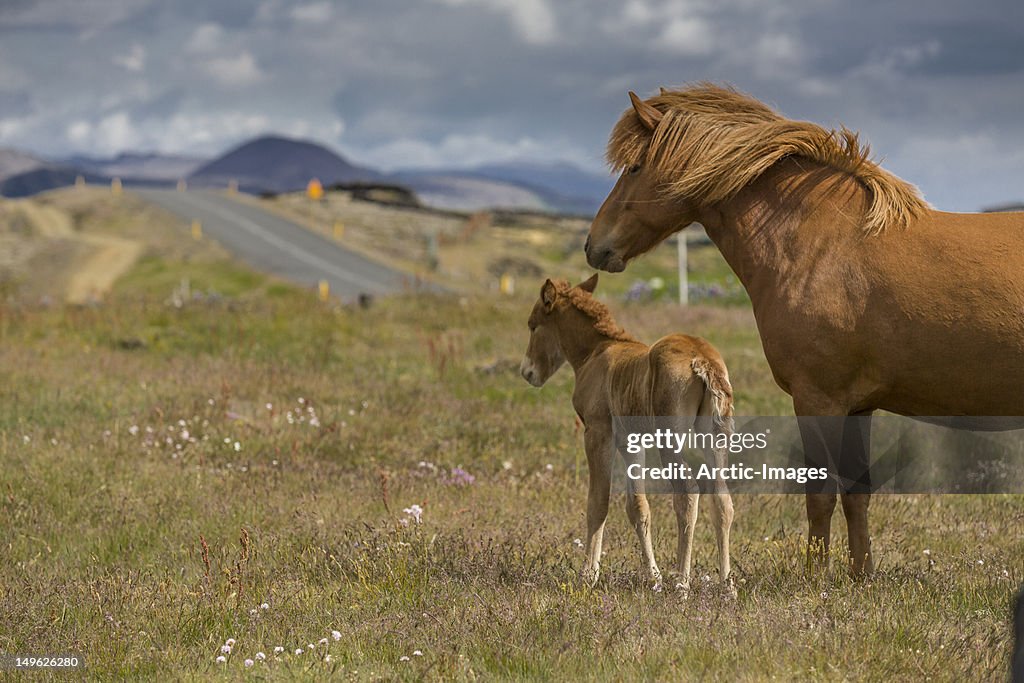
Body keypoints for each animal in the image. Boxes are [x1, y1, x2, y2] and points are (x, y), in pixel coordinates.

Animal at [585, 85, 1024, 577]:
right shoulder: (858, 407)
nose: (594, 245)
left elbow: (820, 495)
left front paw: (816, 579)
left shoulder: (818, 400)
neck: (823, 247)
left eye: (635, 167)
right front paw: (860, 577)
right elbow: (856, 493)